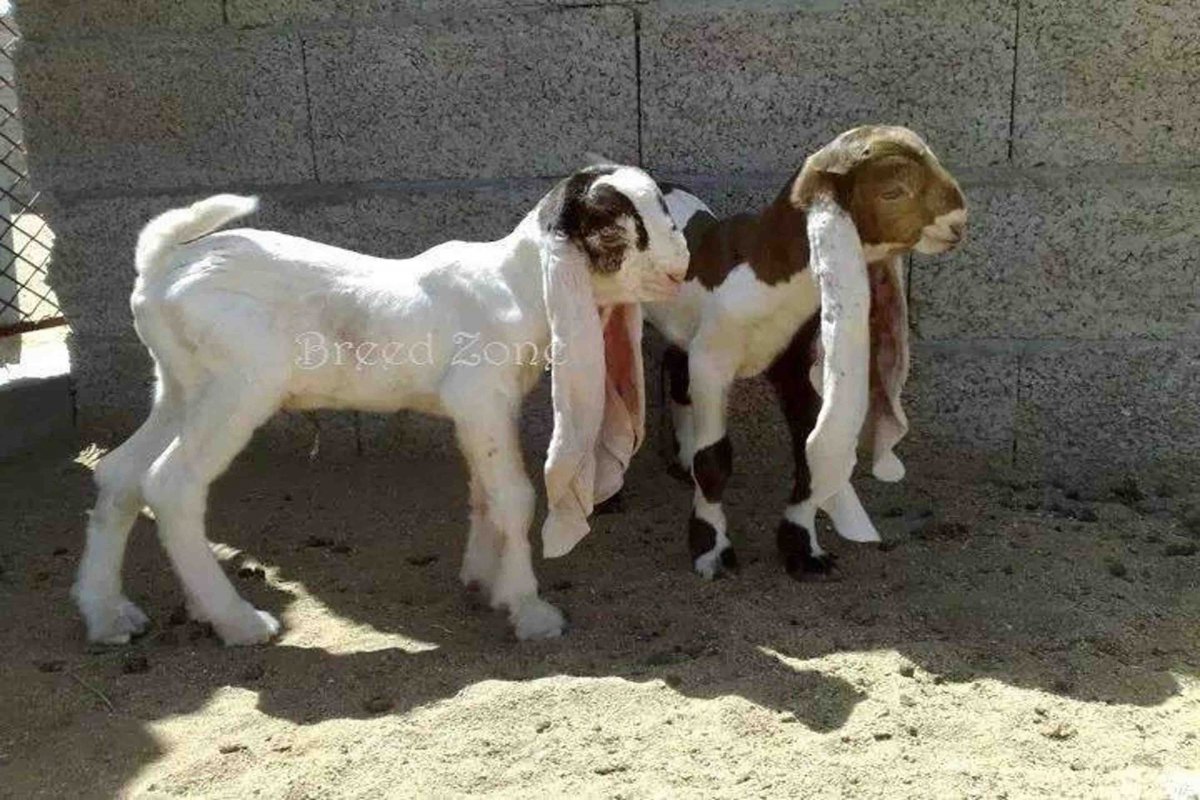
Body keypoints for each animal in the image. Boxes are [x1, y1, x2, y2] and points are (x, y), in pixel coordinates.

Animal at [74, 165, 688, 645]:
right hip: (237, 388)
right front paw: (530, 611)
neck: (515, 285)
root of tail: (159, 268)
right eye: (614, 223)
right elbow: (513, 498)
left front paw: (484, 581)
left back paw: (108, 614)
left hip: (180, 387)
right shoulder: (481, 396)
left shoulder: (479, 412)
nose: (678, 271)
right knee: (171, 485)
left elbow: (483, 494)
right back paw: (238, 621)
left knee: (120, 474)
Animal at [644, 126, 967, 580]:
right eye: (893, 191)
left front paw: (803, 550)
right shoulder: (713, 361)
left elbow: (806, 455)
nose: (958, 224)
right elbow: (715, 460)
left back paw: (681, 458)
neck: (764, 271)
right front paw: (712, 552)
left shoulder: (791, 363)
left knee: (676, 368)